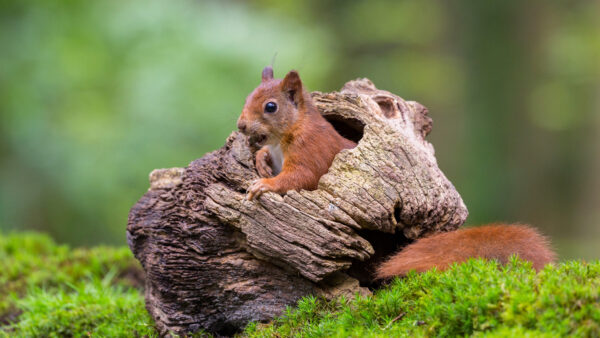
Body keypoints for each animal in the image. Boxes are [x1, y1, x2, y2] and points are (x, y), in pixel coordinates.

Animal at [237, 68, 556, 278]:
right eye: (248, 96)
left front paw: (265, 184)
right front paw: (262, 160)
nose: (241, 126)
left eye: (270, 106)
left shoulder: (311, 152)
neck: (286, 134)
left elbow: (299, 178)